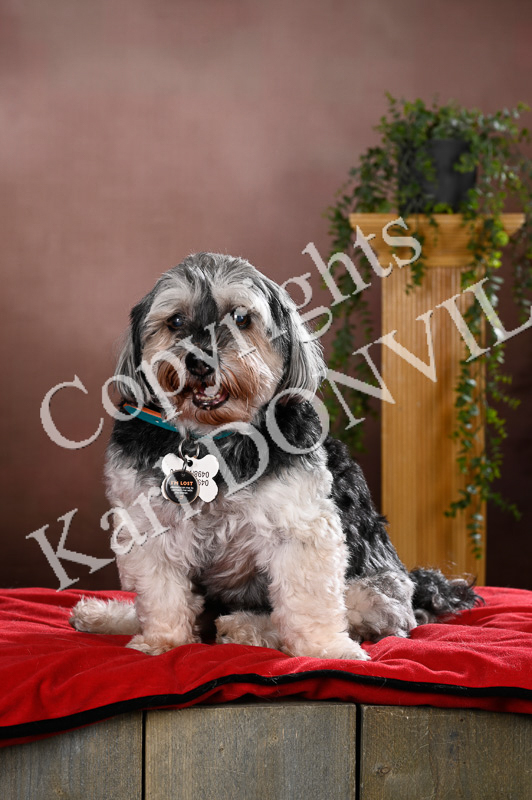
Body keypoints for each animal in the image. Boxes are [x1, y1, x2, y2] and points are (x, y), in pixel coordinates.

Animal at [70, 252, 479, 659]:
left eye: (241, 318)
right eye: (176, 321)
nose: (200, 361)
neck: (212, 436)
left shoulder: (302, 528)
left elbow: (308, 601)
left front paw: (327, 650)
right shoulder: (148, 528)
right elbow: (161, 596)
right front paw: (162, 642)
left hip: (374, 588)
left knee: (357, 618)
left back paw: (245, 627)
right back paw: (105, 616)